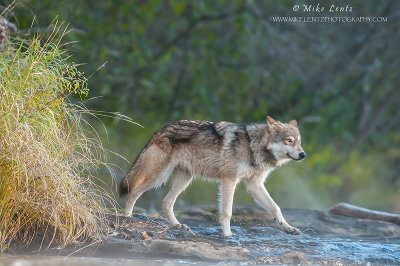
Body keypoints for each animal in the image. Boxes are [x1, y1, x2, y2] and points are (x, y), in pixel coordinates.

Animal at [119, 115, 306, 236]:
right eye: (289, 140)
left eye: (299, 142)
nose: (303, 154)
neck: (253, 146)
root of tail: (159, 130)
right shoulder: (229, 180)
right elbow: (227, 211)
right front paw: (228, 235)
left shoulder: (254, 185)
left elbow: (275, 208)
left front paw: (288, 228)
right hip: (158, 177)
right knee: (134, 191)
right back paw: (127, 217)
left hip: (184, 180)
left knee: (166, 201)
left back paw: (178, 226)